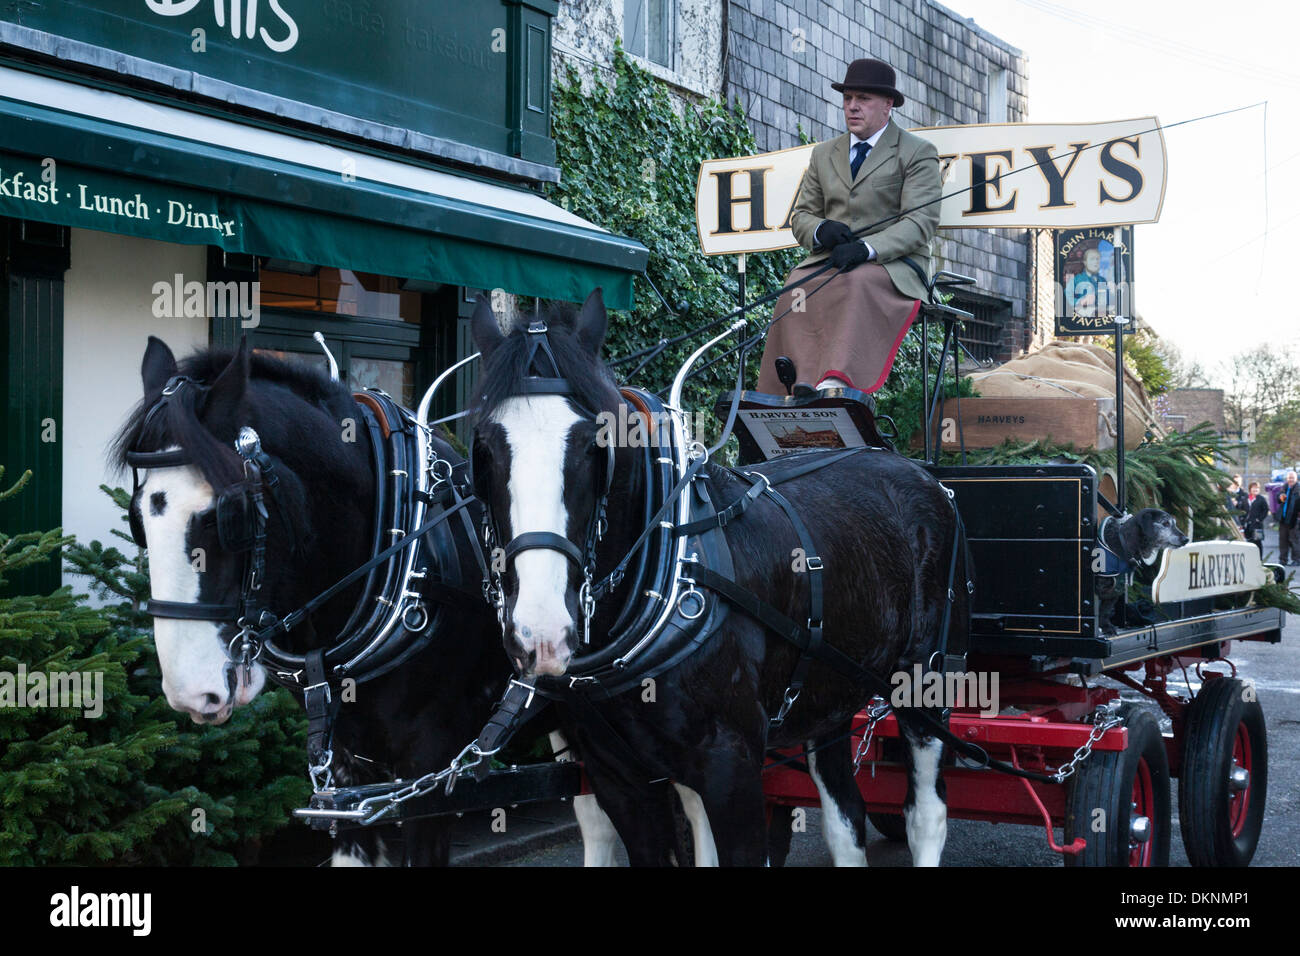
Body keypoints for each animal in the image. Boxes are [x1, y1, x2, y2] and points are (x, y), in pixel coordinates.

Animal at [473, 291, 972, 868]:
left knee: (926, 814)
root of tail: (922, 475)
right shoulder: (620, 780)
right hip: (829, 688)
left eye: (596, 446)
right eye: (483, 447)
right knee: (845, 818)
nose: (542, 632)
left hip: (924, 678)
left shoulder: (731, 766)